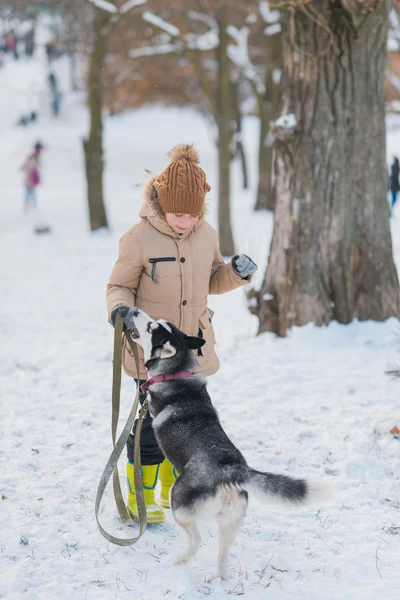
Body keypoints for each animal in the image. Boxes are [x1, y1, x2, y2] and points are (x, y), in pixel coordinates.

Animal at [121, 308, 332, 580]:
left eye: (150, 328)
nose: (134, 310)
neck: (177, 373)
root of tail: (233, 470)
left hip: (181, 505)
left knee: (196, 540)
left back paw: (177, 560)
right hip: (230, 523)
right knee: (222, 558)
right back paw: (219, 579)